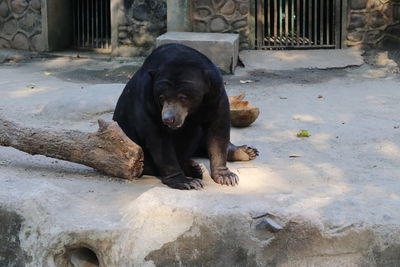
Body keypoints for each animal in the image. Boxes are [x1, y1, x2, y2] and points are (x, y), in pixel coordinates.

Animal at [113, 44, 256, 189]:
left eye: (183, 97)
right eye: (161, 97)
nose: (168, 119)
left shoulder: (215, 94)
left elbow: (218, 128)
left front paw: (226, 177)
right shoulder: (147, 98)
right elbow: (158, 138)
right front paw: (186, 181)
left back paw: (246, 151)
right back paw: (194, 169)